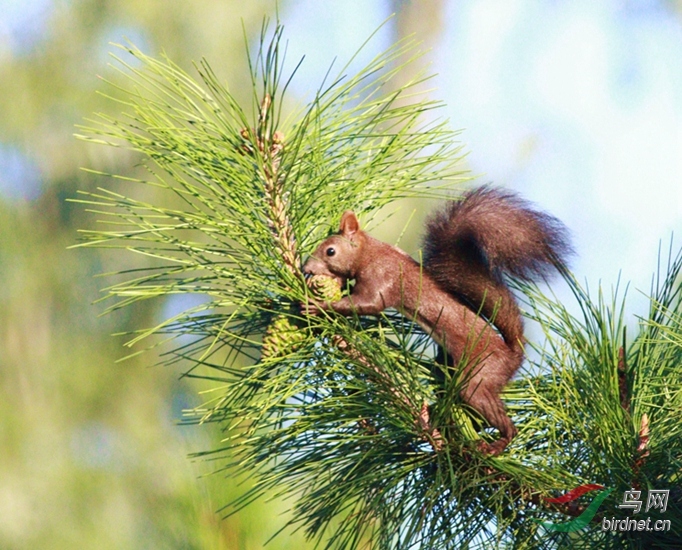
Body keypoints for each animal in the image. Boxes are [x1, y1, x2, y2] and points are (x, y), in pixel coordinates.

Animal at [300, 187, 572, 458]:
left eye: (330, 251)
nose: (306, 268)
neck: (370, 252)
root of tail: (512, 356)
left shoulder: (381, 279)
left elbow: (367, 304)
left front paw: (317, 305)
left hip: (479, 376)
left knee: (501, 420)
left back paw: (496, 444)